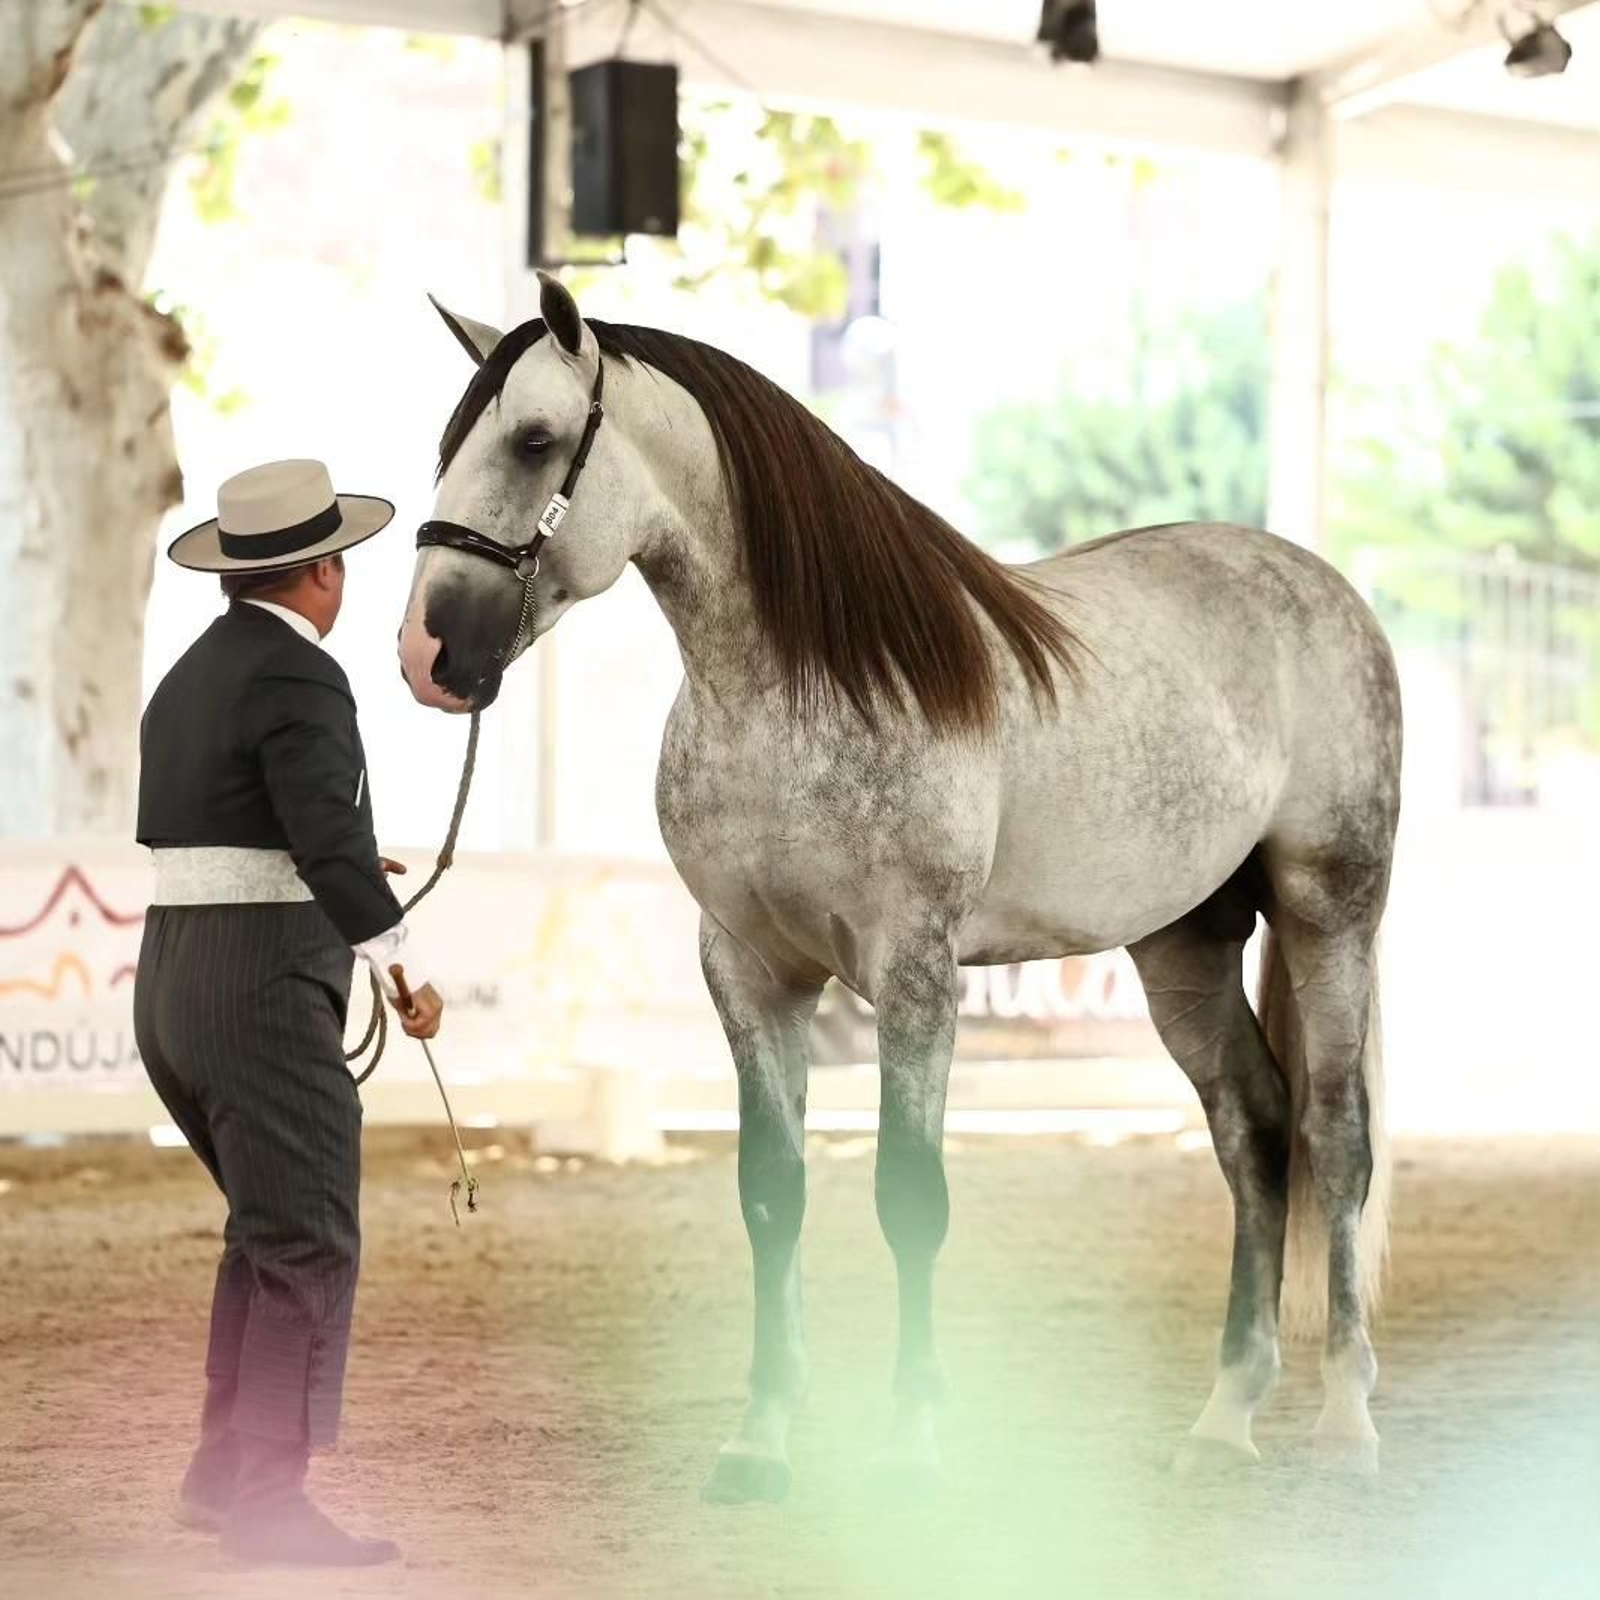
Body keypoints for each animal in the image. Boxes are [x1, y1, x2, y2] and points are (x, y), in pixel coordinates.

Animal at [398, 273, 1401, 1502]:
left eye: (535, 439)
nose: (426, 653)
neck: (803, 689)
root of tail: (1319, 586)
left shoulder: (916, 973)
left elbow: (908, 1197)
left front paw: (915, 1444)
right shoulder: (749, 970)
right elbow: (771, 1194)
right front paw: (759, 1442)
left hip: (1329, 909)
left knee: (1335, 1133)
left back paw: (1347, 1424)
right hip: (1182, 942)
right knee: (1253, 1129)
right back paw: (1224, 1418)